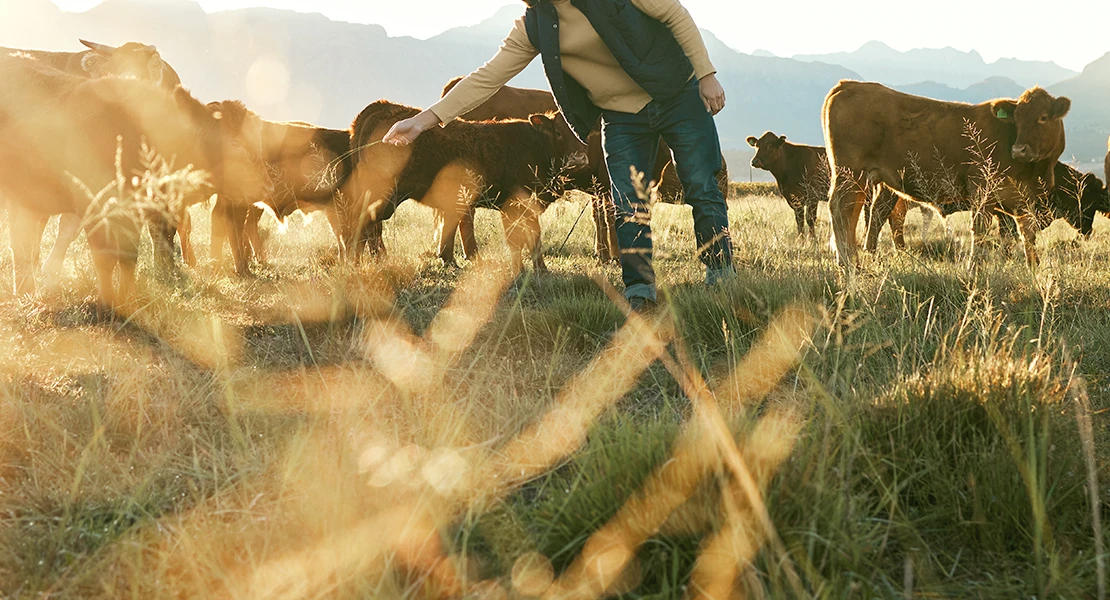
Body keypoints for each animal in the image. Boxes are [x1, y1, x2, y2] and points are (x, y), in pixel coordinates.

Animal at [0, 55, 270, 306]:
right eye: (234, 143)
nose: (267, 185)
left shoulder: (136, 214)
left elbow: (129, 256)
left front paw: (128, 297)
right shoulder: (95, 209)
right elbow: (104, 256)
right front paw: (108, 302)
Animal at [346, 100, 590, 271]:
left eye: (582, 135)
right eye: (558, 132)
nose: (578, 158)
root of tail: (383, 106)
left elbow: (534, 236)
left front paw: (541, 270)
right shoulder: (513, 204)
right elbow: (517, 239)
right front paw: (520, 271)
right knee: (364, 223)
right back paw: (360, 262)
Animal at [825, 79, 1065, 266]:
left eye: (1043, 117)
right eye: (1017, 119)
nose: (1018, 150)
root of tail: (847, 85)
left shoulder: (1025, 202)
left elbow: (1027, 236)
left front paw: (1033, 269)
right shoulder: (981, 188)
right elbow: (980, 229)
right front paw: (973, 268)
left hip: (868, 180)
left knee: (863, 213)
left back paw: (858, 258)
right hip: (849, 173)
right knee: (842, 209)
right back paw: (847, 261)